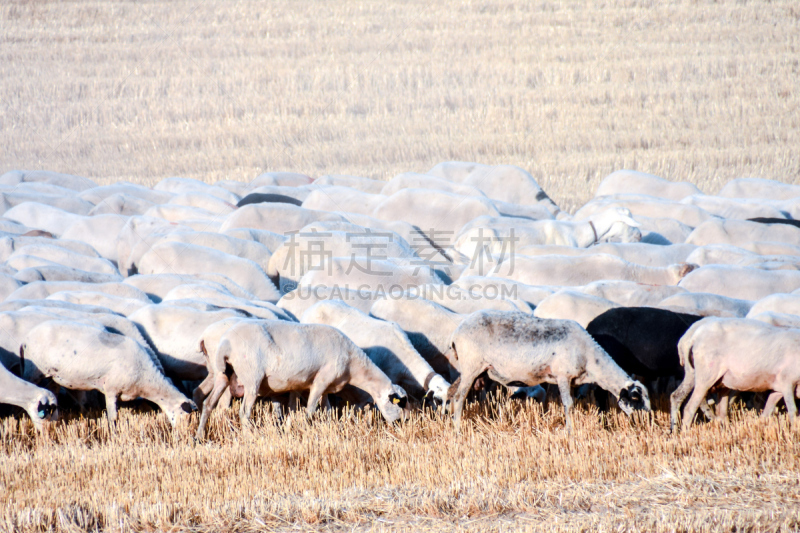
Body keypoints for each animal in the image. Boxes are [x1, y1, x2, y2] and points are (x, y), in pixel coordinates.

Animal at [21, 318, 196, 426]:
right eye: (185, 416)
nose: (184, 436)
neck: (146, 379)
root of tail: (25, 339)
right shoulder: (111, 390)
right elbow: (113, 418)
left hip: (53, 377)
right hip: (33, 371)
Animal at [195, 320, 406, 436]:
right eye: (397, 403)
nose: (400, 424)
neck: (354, 366)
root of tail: (226, 343)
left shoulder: (322, 386)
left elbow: (326, 410)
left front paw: (329, 429)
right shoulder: (321, 381)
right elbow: (310, 410)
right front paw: (305, 430)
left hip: (223, 374)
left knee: (208, 403)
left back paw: (199, 436)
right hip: (251, 378)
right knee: (244, 412)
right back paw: (249, 437)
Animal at [446, 310, 648, 430]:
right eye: (635, 398)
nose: (646, 424)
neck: (591, 361)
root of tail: (456, 333)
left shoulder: (572, 380)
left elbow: (571, 402)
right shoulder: (563, 376)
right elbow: (569, 404)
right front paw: (570, 431)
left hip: (477, 370)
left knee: (452, 393)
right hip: (471, 366)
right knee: (459, 397)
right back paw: (458, 429)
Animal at [672, 318, 800, 430]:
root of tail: (694, 337)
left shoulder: (778, 389)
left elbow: (766, 414)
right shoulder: (787, 382)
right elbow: (793, 412)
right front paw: (794, 432)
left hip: (709, 379)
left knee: (718, 412)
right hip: (706, 376)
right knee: (690, 408)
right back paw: (684, 433)